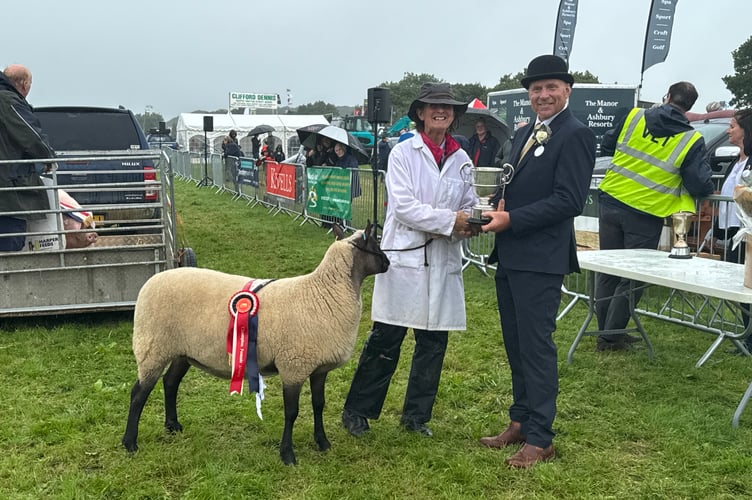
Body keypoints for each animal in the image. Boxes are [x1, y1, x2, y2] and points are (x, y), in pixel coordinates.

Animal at [122, 223, 389, 465]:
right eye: (376, 245)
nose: (388, 263)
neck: (324, 293)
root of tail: (151, 282)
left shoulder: (318, 368)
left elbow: (318, 405)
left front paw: (322, 443)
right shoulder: (293, 365)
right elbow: (292, 413)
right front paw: (287, 455)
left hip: (182, 350)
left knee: (170, 383)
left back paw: (172, 425)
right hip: (153, 346)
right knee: (139, 393)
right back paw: (130, 443)